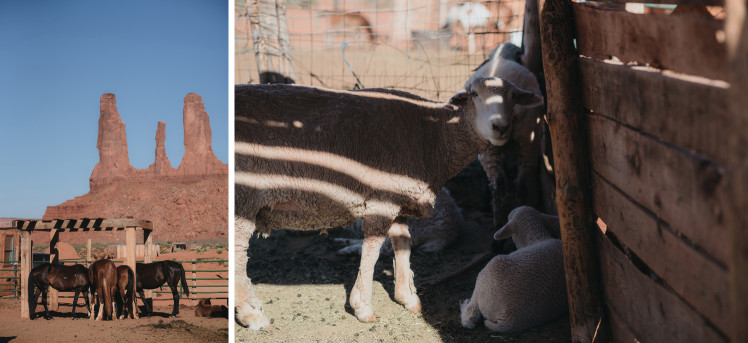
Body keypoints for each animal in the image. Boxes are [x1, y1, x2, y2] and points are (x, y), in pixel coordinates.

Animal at [235, 78, 544, 330]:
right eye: (474, 94)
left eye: (514, 97)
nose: (500, 127)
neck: (434, 136)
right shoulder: (381, 200)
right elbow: (372, 251)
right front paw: (362, 307)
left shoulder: (399, 198)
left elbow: (403, 245)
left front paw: (408, 298)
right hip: (244, 198)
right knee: (238, 255)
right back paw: (252, 316)